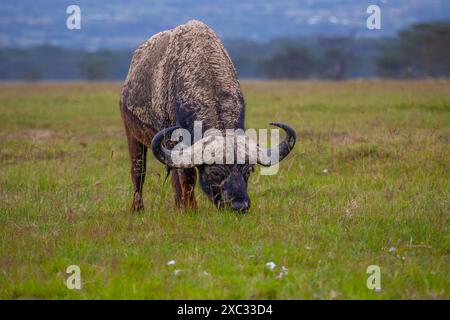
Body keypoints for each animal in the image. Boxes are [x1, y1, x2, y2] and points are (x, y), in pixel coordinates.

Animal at [120, 19, 296, 210]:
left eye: (248, 171)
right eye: (216, 173)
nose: (239, 205)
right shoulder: (172, 141)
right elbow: (187, 176)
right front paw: (190, 209)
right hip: (131, 133)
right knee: (139, 171)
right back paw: (138, 208)